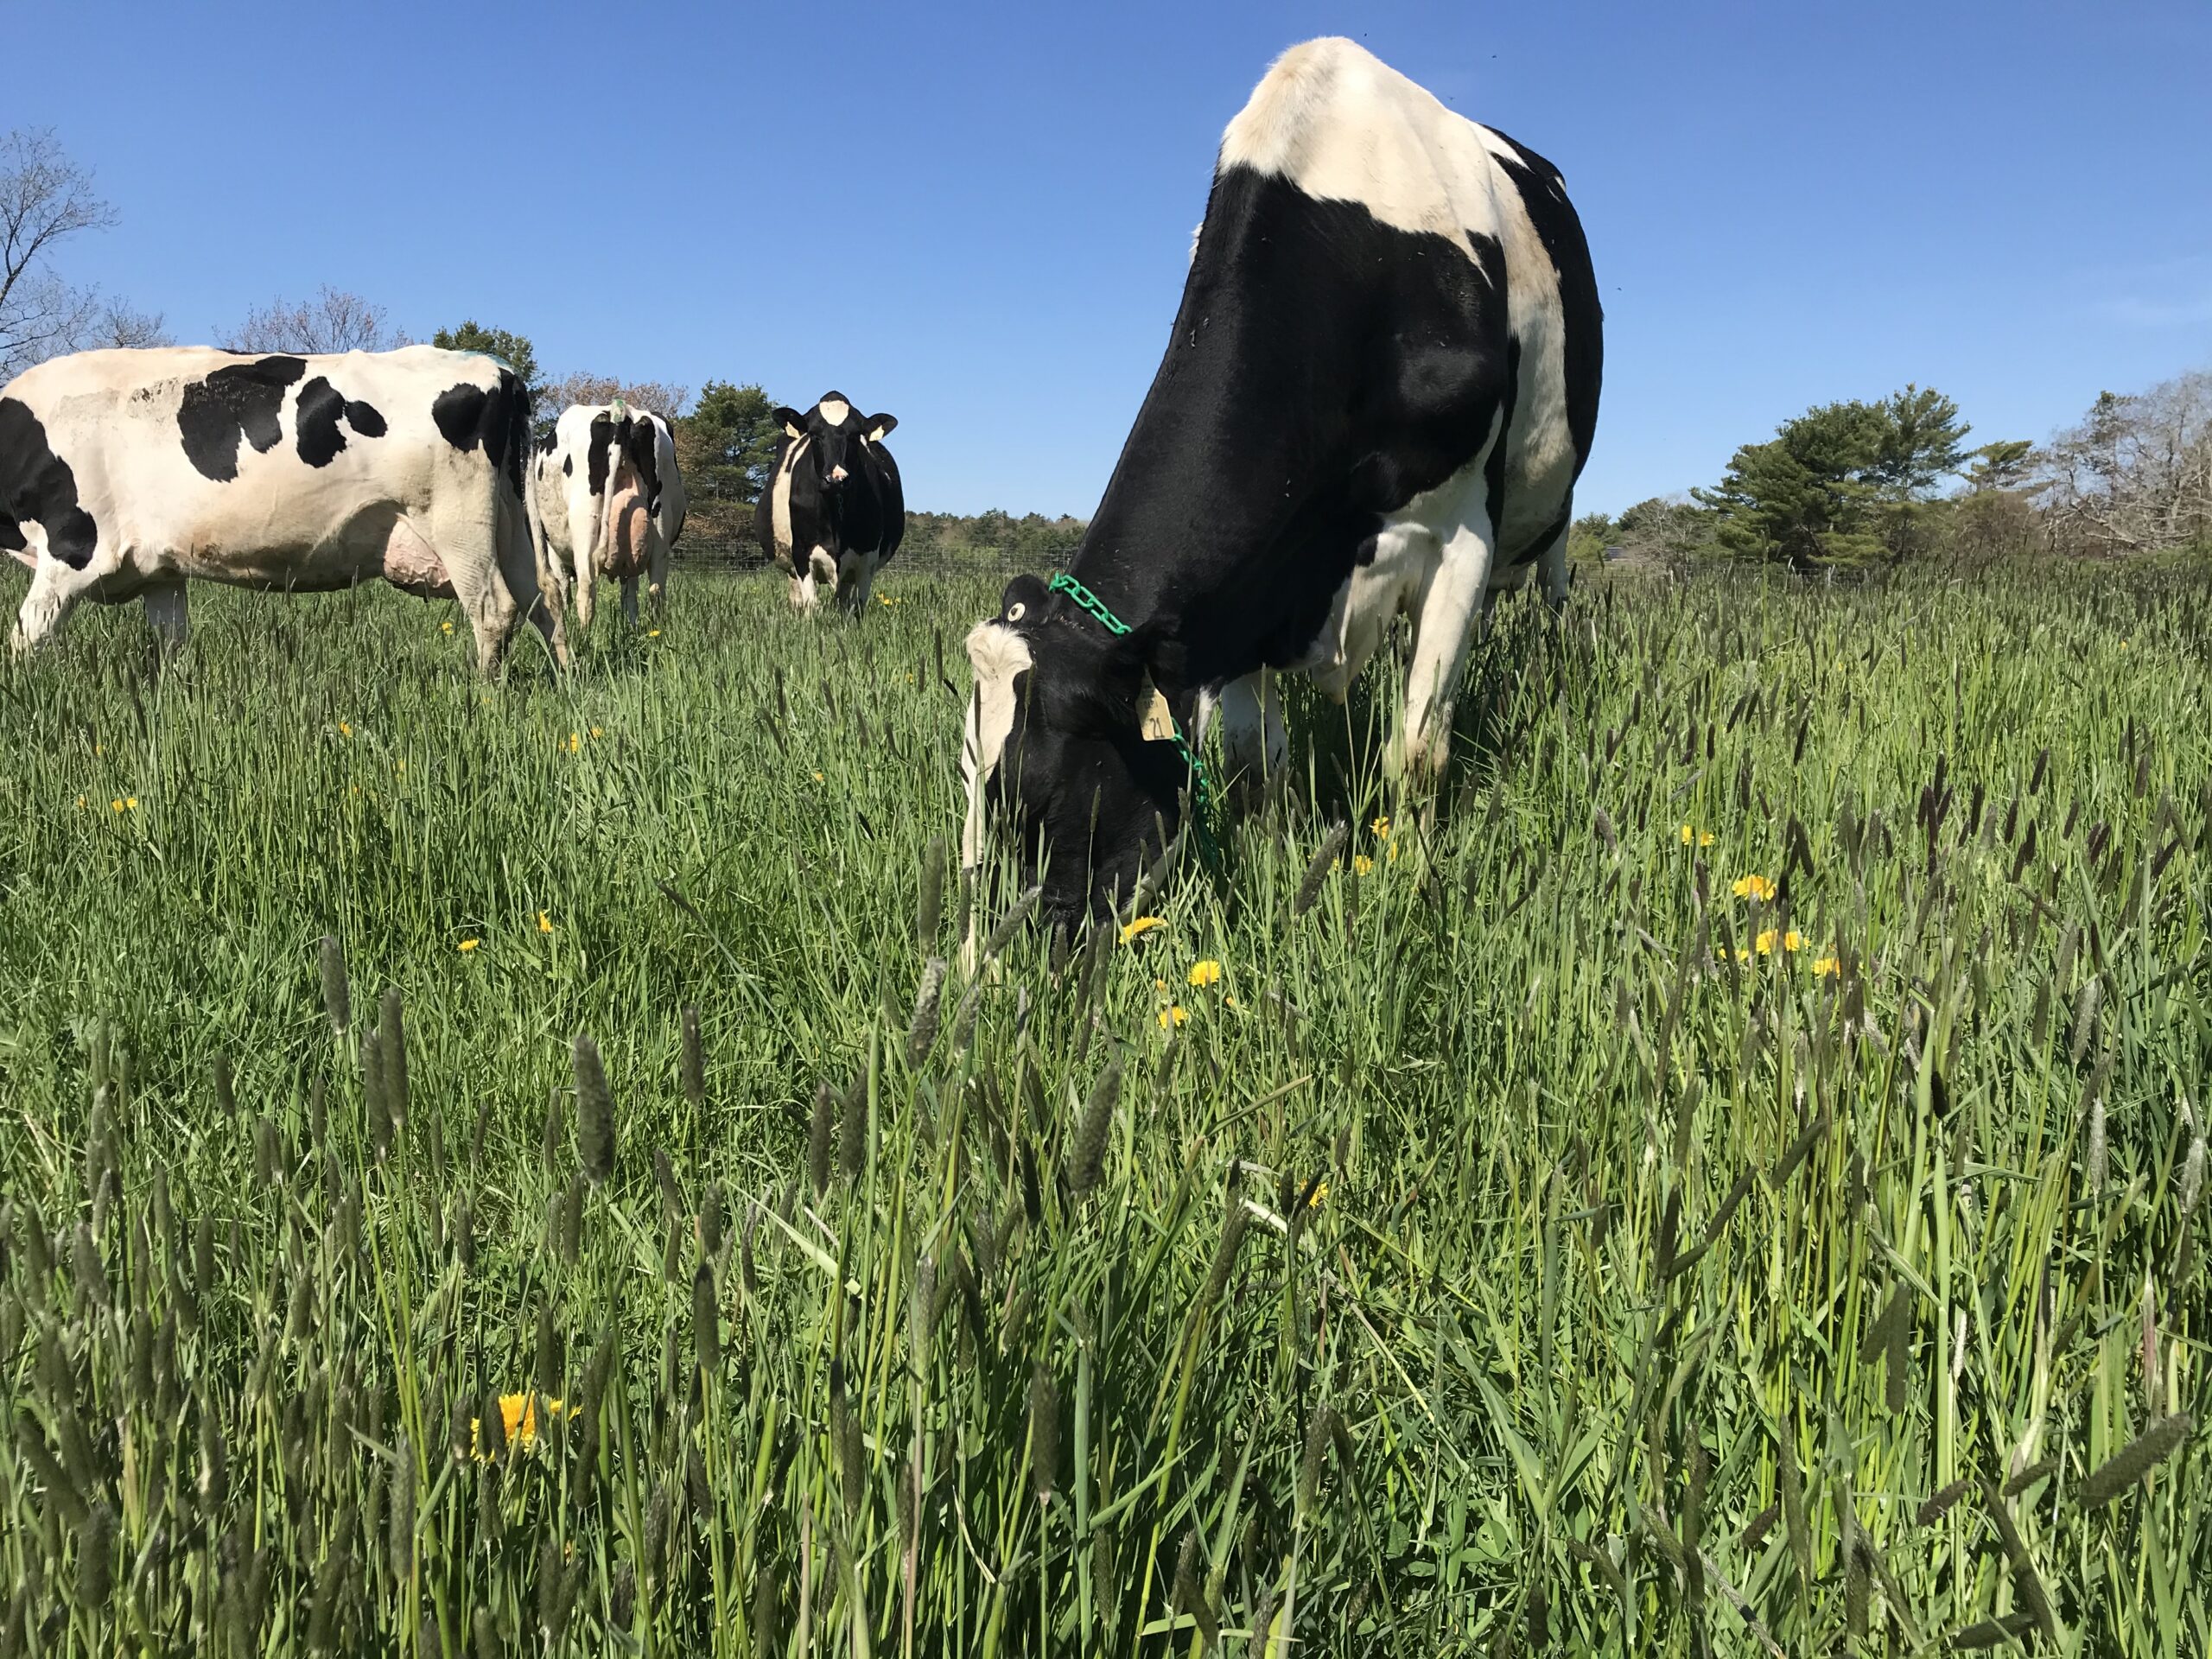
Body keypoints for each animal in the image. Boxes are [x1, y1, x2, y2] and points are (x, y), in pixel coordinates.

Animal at [1, 344, 567, 672]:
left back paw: (484, 694)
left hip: (458, 524)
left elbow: (25, 638)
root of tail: (500, 370)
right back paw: (566, 682)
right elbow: (171, 646)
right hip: (510, 526)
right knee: (544, 601)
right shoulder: (160, 571)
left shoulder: (73, 549)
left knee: (494, 608)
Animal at [529, 400, 686, 630]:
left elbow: (562, 587)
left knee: (586, 589)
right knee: (656, 590)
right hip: (660, 528)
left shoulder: (553, 551)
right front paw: (631, 626)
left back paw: (583, 636)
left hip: (585, 525)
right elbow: (629, 593)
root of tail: (622, 411)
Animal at [754, 392, 903, 614]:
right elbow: (811, 604)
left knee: (843, 598)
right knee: (797, 594)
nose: (836, 479)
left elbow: (857, 607)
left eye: (855, 436)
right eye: (814, 435)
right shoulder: (801, 552)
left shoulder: (867, 556)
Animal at [961, 37, 1602, 933]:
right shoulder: (1243, 592)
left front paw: (1412, 886)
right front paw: (1270, 876)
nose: (993, 948)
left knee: (1549, 598)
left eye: (1040, 793)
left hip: (1554, 519)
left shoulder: (1462, 532)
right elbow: (1251, 765)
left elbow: (1418, 750)